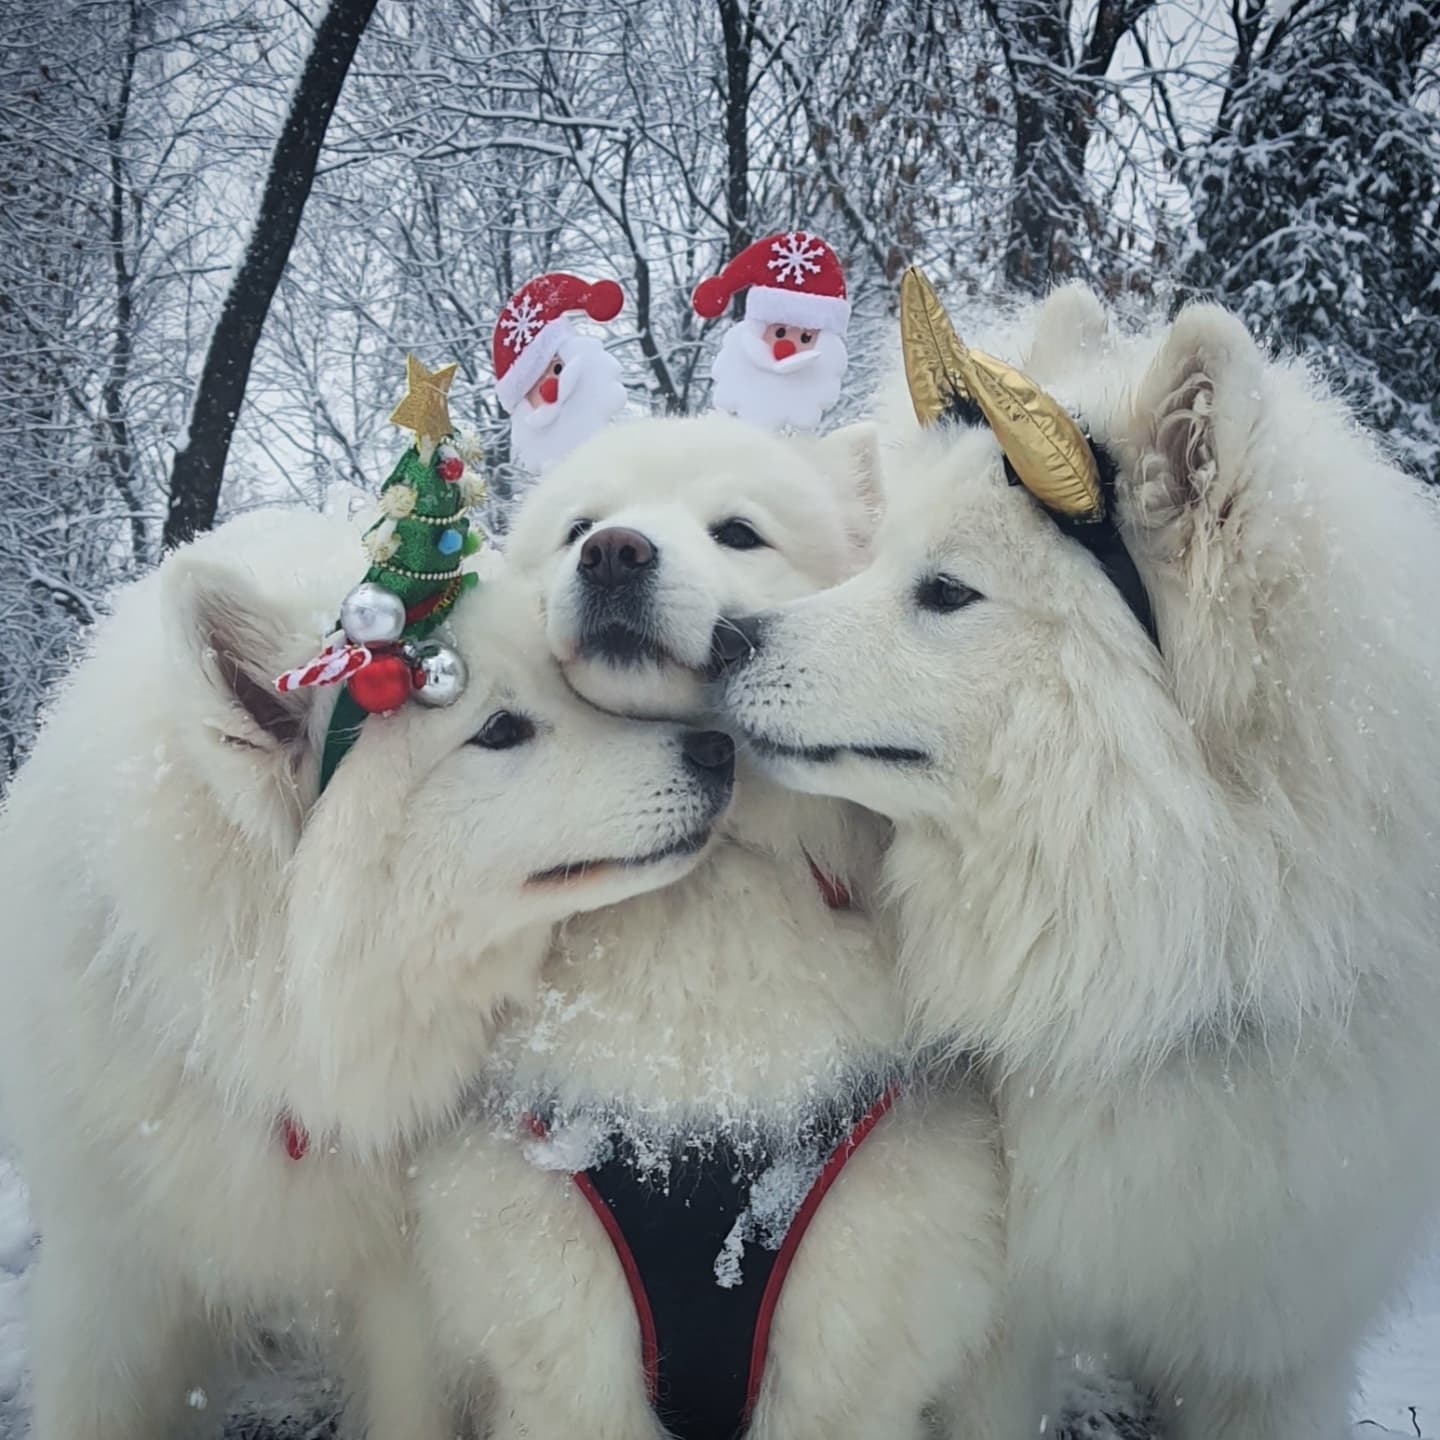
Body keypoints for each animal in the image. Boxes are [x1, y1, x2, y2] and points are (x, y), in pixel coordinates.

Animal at [0, 509, 737, 1440]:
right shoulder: (108, 1278)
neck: (266, 1037)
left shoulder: (402, 1295)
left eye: (570, 684)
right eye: (499, 730)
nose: (719, 747)